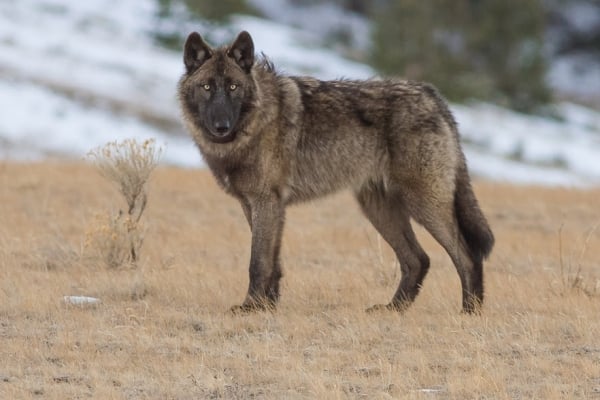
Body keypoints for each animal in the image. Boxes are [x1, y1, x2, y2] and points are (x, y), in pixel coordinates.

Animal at [177, 31, 492, 314]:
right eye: (207, 87)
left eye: (233, 87)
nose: (221, 126)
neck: (255, 121)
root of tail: (433, 96)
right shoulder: (257, 205)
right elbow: (273, 262)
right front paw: (267, 307)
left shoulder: (266, 202)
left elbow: (258, 262)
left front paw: (250, 307)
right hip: (378, 209)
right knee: (418, 259)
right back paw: (393, 308)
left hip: (423, 205)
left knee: (466, 256)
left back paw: (469, 312)